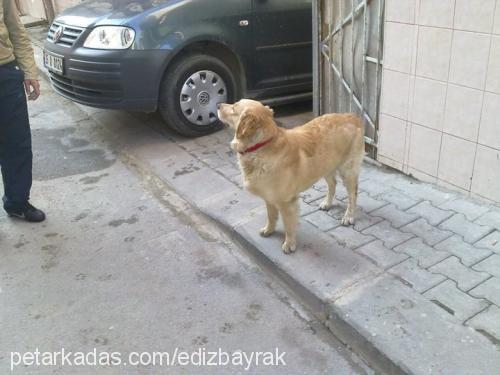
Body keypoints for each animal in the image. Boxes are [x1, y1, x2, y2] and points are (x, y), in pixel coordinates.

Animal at [217, 98, 366, 254]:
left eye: (234, 108)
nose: (218, 105)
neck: (262, 145)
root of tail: (351, 116)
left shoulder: (286, 202)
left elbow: (288, 225)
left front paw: (289, 244)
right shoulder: (269, 197)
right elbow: (271, 217)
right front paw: (268, 230)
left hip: (347, 170)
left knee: (353, 194)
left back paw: (349, 216)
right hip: (326, 166)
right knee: (333, 184)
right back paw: (327, 203)